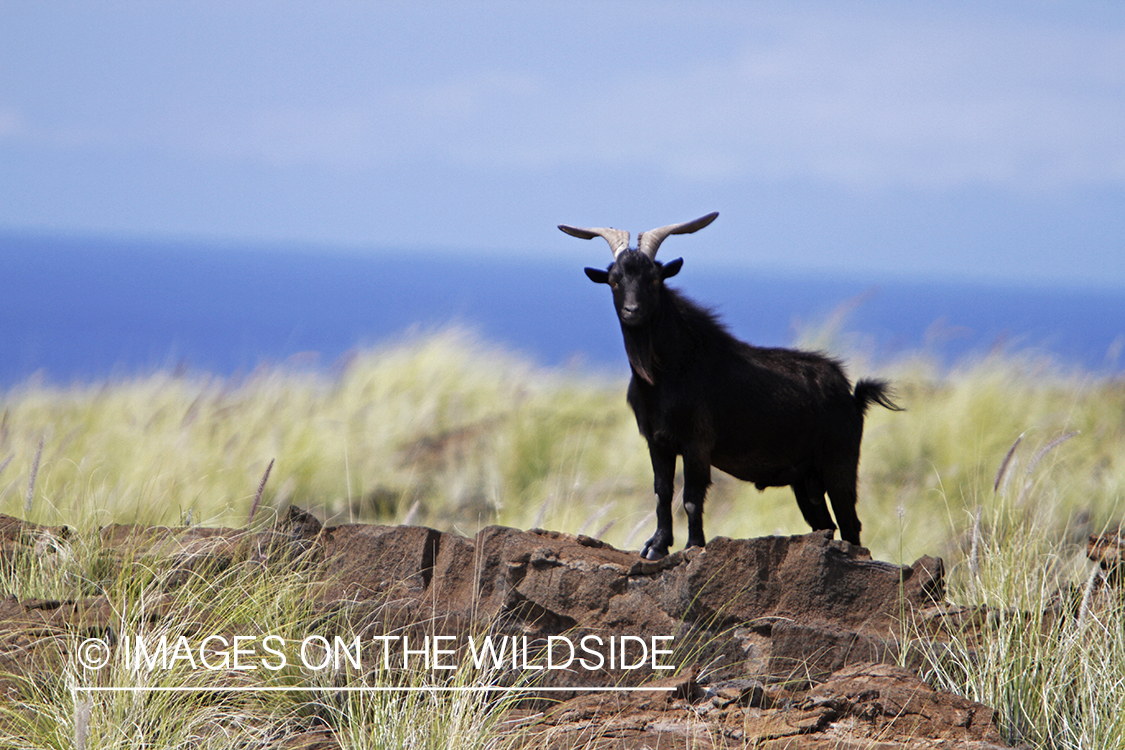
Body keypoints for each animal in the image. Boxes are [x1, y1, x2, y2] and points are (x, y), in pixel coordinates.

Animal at [559, 212, 901, 559]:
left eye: (654, 279)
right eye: (614, 280)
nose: (632, 311)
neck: (667, 374)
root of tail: (853, 396)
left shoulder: (696, 443)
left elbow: (691, 498)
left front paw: (693, 546)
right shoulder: (657, 442)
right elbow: (662, 492)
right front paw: (656, 546)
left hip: (839, 462)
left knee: (850, 522)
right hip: (807, 479)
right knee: (825, 524)